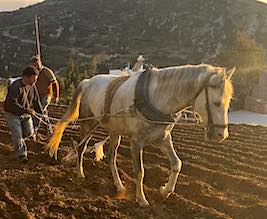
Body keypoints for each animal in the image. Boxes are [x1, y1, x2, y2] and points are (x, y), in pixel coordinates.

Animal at [45, 63, 234, 205]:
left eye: (228, 102)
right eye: (216, 102)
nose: (222, 135)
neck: (158, 97)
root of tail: (87, 81)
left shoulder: (162, 138)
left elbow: (176, 164)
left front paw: (165, 191)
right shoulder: (136, 141)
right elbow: (140, 171)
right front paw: (142, 199)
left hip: (114, 131)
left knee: (111, 156)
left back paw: (119, 186)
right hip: (89, 123)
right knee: (81, 147)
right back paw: (80, 174)